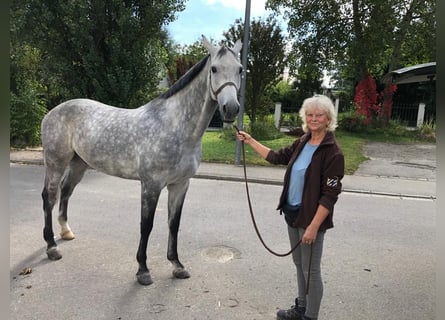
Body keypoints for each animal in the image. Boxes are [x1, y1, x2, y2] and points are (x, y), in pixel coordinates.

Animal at [40, 35, 243, 284]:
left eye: (240, 69)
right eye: (214, 69)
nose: (231, 108)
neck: (175, 126)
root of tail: (51, 112)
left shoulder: (180, 185)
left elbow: (174, 224)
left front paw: (177, 265)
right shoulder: (151, 185)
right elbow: (146, 225)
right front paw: (143, 270)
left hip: (79, 164)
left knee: (66, 191)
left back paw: (66, 232)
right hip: (55, 162)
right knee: (49, 197)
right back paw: (51, 247)